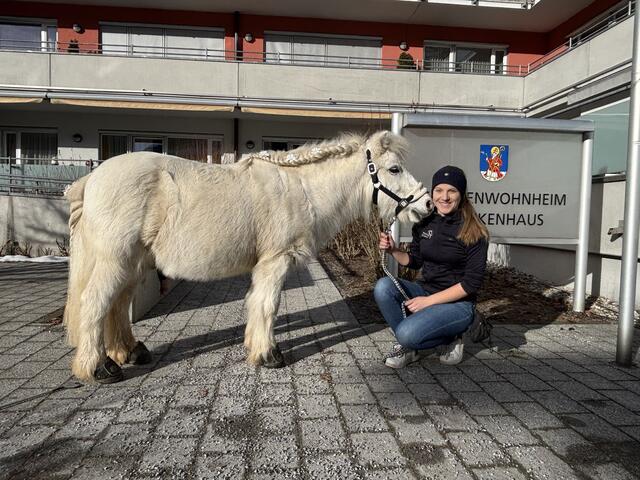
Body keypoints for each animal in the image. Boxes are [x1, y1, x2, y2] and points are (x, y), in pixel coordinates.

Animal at [63, 130, 433, 383]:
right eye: (394, 169)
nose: (426, 204)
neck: (301, 189)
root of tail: (91, 178)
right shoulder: (276, 260)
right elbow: (267, 304)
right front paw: (269, 355)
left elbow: (257, 303)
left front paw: (257, 349)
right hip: (115, 259)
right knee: (96, 302)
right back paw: (99, 368)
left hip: (133, 262)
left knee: (117, 304)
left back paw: (129, 352)